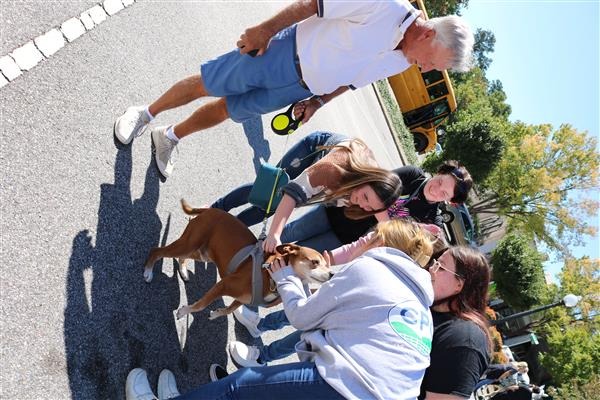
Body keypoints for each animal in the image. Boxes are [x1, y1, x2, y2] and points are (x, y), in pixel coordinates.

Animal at [144, 202, 336, 320]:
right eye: (315, 262)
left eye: (327, 263)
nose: (332, 274)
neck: (271, 277)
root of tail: (209, 210)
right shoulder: (223, 285)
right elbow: (200, 305)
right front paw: (185, 311)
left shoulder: (242, 299)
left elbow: (229, 310)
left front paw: (217, 313)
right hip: (190, 244)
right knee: (157, 251)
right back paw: (148, 271)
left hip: (202, 253)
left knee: (181, 257)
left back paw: (183, 271)